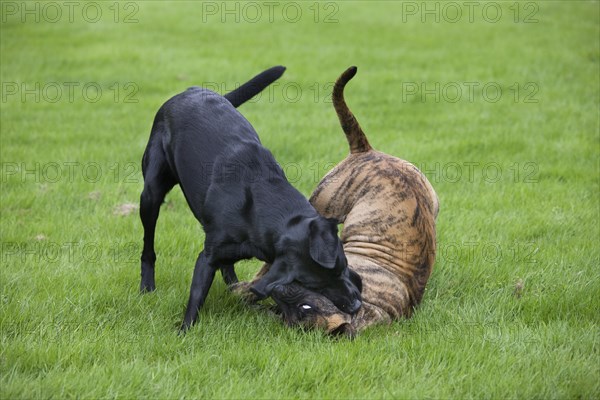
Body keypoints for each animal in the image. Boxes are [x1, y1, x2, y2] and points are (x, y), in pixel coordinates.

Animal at [141, 65, 364, 330]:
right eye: (315, 286)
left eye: (342, 266)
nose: (356, 306)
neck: (259, 205)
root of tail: (191, 91)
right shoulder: (208, 256)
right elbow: (197, 294)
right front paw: (185, 330)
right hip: (150, 194)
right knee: (148, 244)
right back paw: (146, 286)